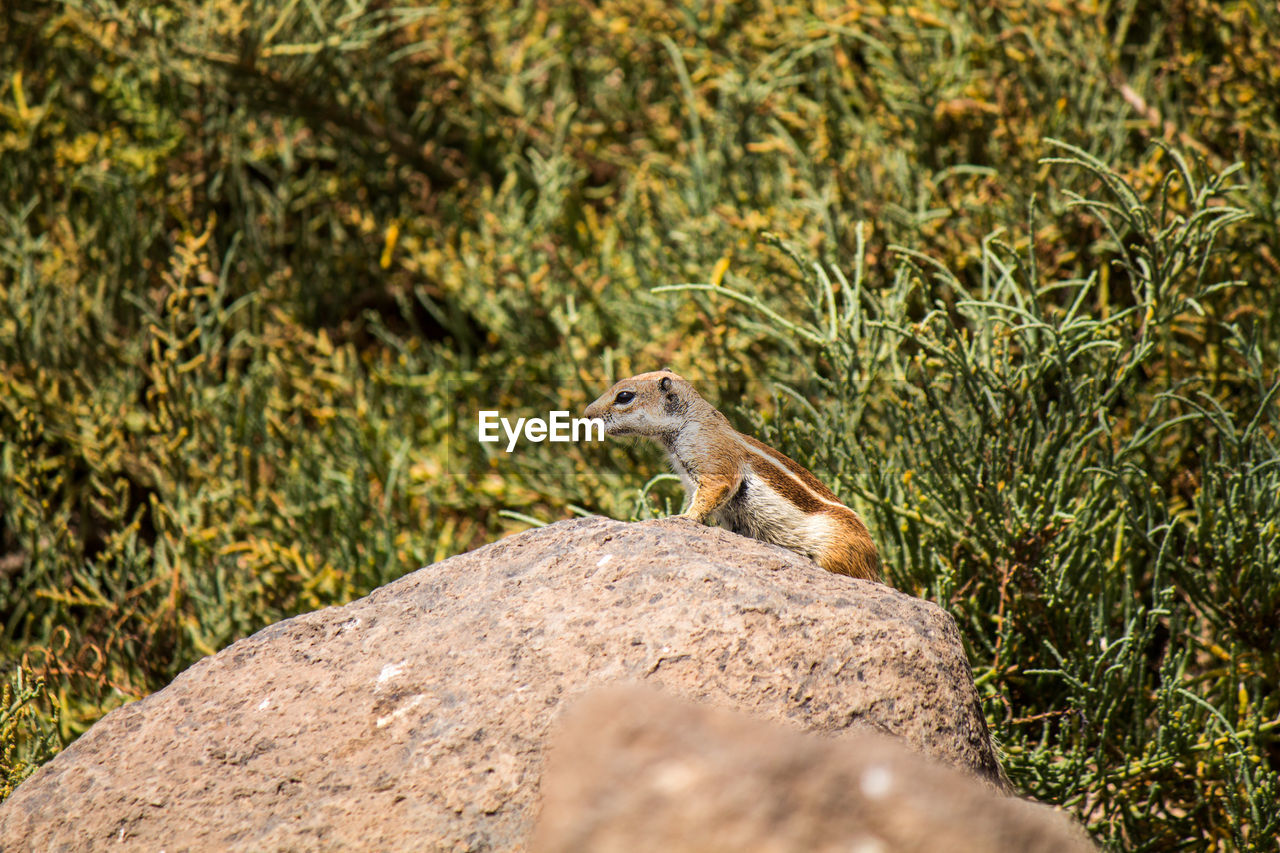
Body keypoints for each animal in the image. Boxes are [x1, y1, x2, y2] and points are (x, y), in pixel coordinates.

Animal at [583, 366, 875, 578]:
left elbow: (714, 491)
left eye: (624, 396)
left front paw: (684, 518)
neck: (690, 421)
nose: (586, 414)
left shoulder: (713, 460)